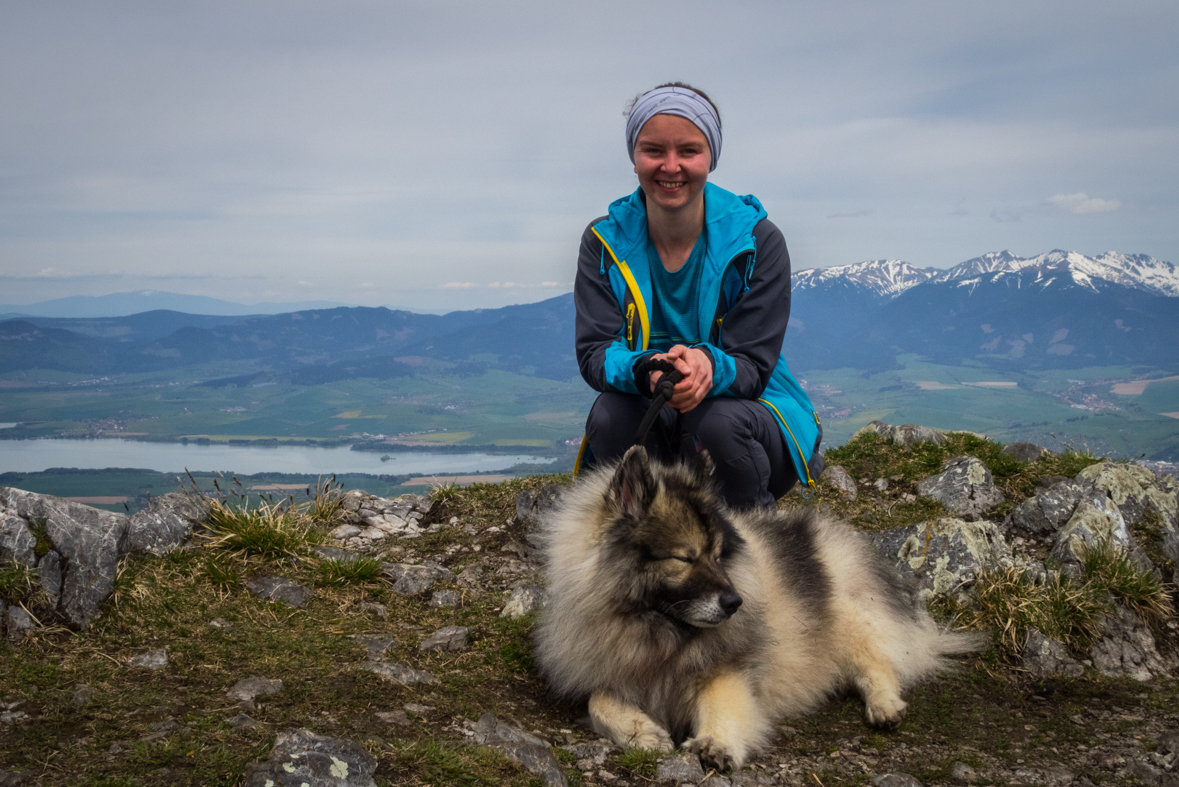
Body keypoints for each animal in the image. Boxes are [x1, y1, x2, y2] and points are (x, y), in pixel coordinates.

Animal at [532, 445, 976, 772]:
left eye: (717, 555)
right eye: (684, 558)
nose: (735, 603)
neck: (657, 631)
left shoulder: (725, 669)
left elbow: (722, 704)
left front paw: (715, 743)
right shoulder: (610, 670)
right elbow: (599, 701)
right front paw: (643, 732)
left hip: (848, 621)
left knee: (878, 665)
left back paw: (884, 706)